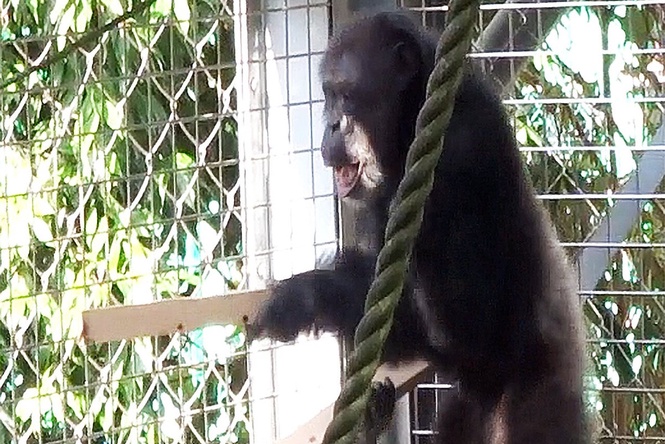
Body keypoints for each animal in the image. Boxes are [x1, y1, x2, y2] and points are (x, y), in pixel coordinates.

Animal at [251, 11, 589, 444]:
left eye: (346, 95)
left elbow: (471, 328)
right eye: (327, 95)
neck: (408, 124)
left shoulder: (456, 156)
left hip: (541, 403)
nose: (331, 125)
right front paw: (305, 296)